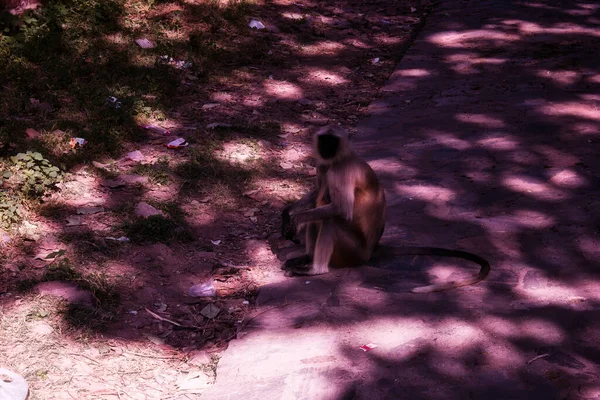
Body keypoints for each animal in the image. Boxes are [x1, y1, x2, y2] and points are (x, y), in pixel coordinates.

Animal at [278, 125, 490, 294]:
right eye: (324, 140)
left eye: (332, 141)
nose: (326, 148)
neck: (341, 157)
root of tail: (373, 249)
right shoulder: (323, 164)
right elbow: (316, 194)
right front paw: (288, 214)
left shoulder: (341, 171)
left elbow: (341, 210)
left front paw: (296, 220)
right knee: (319, 207)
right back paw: (307, 257)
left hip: (354, 251)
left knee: (330, 218)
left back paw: (316, 269)